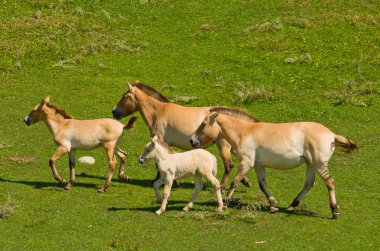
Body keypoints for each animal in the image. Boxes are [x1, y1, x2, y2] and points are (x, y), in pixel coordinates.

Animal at [110, 81, 252, 189]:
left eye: (124, 96)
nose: (114, 112)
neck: (158, 112)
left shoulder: (160, 140)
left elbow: (159, 162)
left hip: (223, 146)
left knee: (229, 165)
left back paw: (222, 186)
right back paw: (244, 181)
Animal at [191, 107, 358, 219]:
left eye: (203, 124)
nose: (192, 141)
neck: (244, 132)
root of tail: (332, 135)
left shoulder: (246, 163)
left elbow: (234, 182)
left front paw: (225, 203)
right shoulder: (258, 166)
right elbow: (262, 185)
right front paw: (272, 205)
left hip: (319, 165)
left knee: (330, 183)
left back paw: (334, 211)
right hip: (310, 165)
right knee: (309, 184)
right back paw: (292, 206)